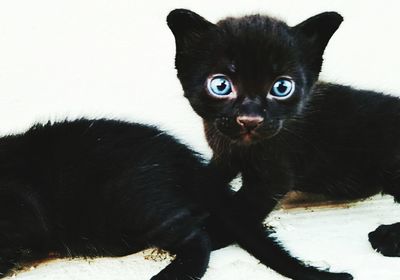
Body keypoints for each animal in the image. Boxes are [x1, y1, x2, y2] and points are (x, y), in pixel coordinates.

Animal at [166, 6, 400, 276]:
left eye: (281, 87)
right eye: (221, 85)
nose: (250, 119)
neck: (239, 148)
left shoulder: (272, 179)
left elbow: (241, 210)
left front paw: (208, 232)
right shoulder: (224, 156)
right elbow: (211, 177)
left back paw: (388, 238)